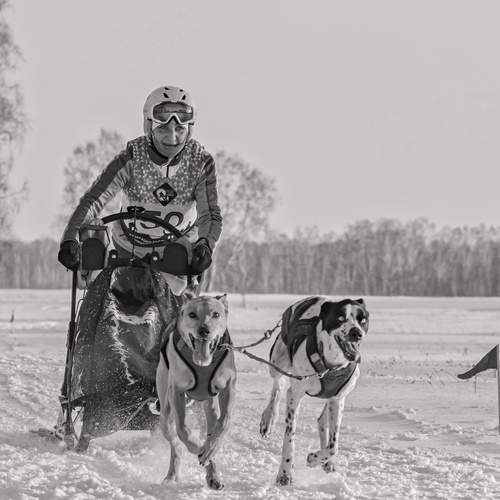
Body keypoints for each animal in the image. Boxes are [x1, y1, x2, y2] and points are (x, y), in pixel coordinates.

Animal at [156, 294, 236, 490]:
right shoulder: (177, 390)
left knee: (212, 427)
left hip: (210, 407)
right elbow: (183, 430)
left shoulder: (228, 386)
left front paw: (210, 449)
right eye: (192, 314)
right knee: (175, 443)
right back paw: (173, 473)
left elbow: (224, 422)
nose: (204, 330)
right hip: (165, 413)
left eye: (216, 314)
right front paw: (197, 448)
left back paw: (213, 474)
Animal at [259, 296, 369, 485]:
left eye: (362, 320)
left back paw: (327, 462)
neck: (330, 366)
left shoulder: (338, 398)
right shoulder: (295, 394)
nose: (356, 332)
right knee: (277, 387)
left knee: (322, 421)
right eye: (340, 317)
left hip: (333, 398)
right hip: (277, 361)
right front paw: (285, 473)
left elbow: (333, 446)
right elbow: (289, 437)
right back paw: (269, 419)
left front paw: (316, 458)